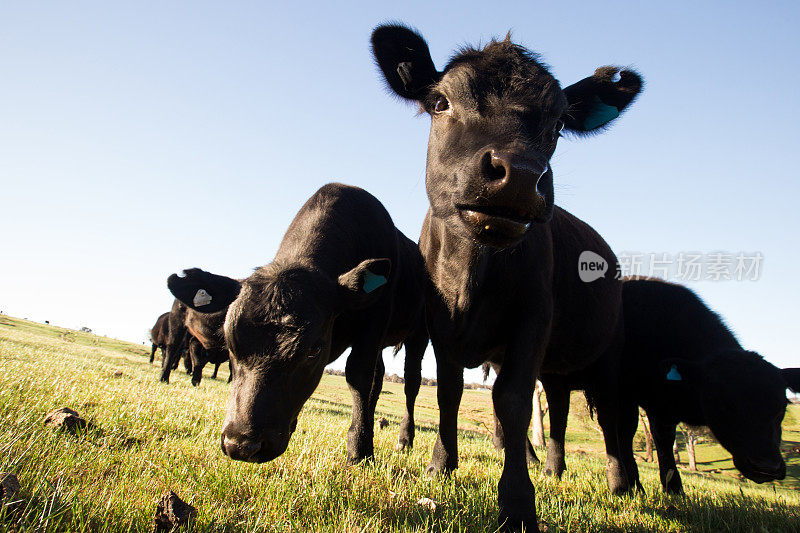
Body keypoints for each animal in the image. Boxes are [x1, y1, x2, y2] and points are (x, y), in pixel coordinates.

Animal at [168, 182, 428, 462]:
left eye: (313, 349)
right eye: (229, 342)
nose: (241, 445)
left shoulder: (374, 322)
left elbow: (358, 376)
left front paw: (359, 450)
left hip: (419, 334)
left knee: (411, 384)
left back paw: (405, 439)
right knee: (378, 379)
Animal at [370, 22, 644, 528]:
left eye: (559, 124)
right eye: (441, 102)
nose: (517, 175)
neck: (470, 277)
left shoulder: (533, 319)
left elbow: (512, 401)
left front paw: (517, 501)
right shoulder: (440, 327)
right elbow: (451, 393)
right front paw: (441, 465)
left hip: (610, 352)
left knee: (612, 417)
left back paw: (620, 482)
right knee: (558, 411)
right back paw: (553, 468)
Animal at [620, 276, 800, 492]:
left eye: (782, 408)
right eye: (723, 405)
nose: (767, 468)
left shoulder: (662, 406)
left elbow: (665, 443)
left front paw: (674, 490)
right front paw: (635, 485)